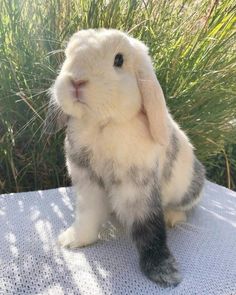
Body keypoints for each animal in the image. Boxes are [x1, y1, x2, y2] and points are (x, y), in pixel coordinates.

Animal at [47, 28, 205, 288]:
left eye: (119, 60)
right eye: (68, 55)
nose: (76, 80)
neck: (102, 124)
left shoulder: (140, 191)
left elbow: (151, 231)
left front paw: (164, 273)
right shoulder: (88, 184)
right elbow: (87, 216)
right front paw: (73, 240)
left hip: (189, 189)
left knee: (184, 207)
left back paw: (173, 217)